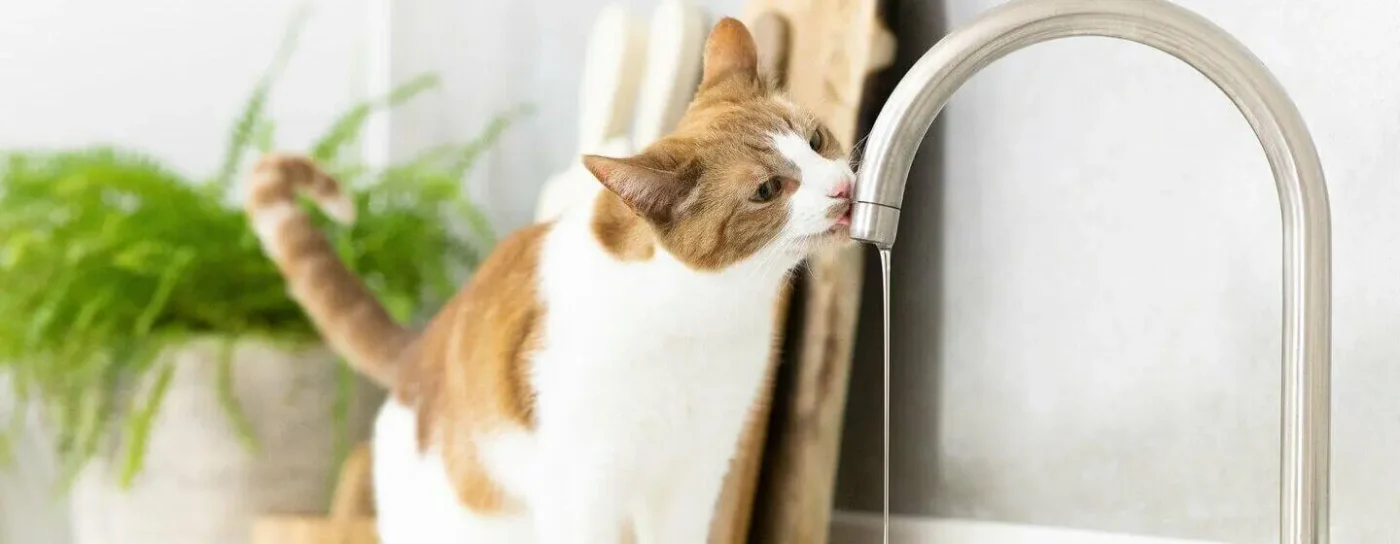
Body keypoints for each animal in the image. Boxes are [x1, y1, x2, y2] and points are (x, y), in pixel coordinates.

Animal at [243, 16, 851, 542]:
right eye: (767, 191)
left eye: (817, 141)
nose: (843, 188)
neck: (701, 314)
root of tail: (419, 348)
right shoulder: (585, 486)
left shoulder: (694, 471)